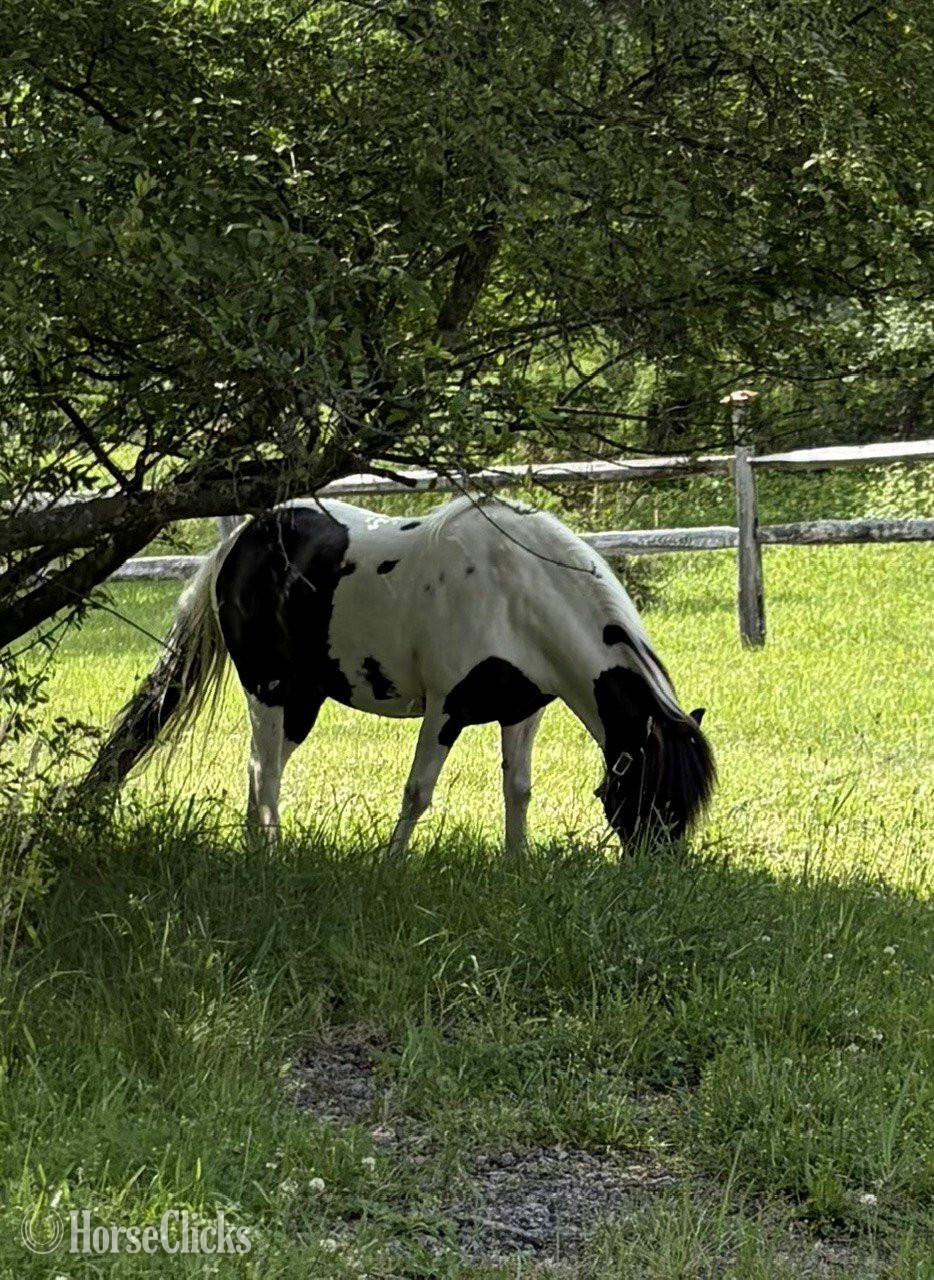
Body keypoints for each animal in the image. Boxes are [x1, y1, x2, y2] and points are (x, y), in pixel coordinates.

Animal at [85, 494, 715, 852]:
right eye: (653, 796)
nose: (658, 868)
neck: (516, 591)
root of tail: (240, 542)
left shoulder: (523, 710)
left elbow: (518, 790)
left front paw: (518, 866)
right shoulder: (445, 709)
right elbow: (417, 793)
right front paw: (391, 866)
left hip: (304, 698)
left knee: (261, 767)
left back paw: (254, 853)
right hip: (266, 685)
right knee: (265, 773)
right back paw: (273, 857)